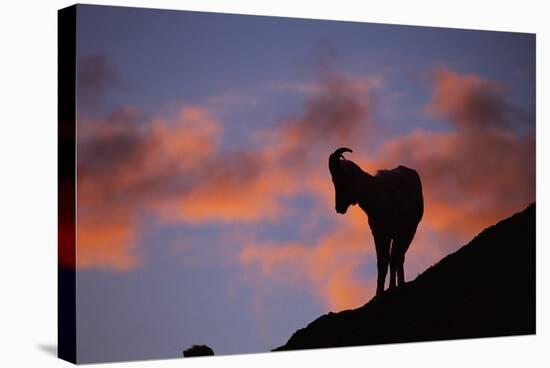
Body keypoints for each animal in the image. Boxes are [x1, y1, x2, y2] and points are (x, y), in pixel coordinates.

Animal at [330, 147, 424, 296]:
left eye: (341, 182)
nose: (338, 208)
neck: (377, 196)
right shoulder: (379, 234)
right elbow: (382, 263)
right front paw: (379, 294)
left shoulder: (403, 232)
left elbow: (394, 259)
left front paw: (396, 287)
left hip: (407, 233)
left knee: (398, 257)